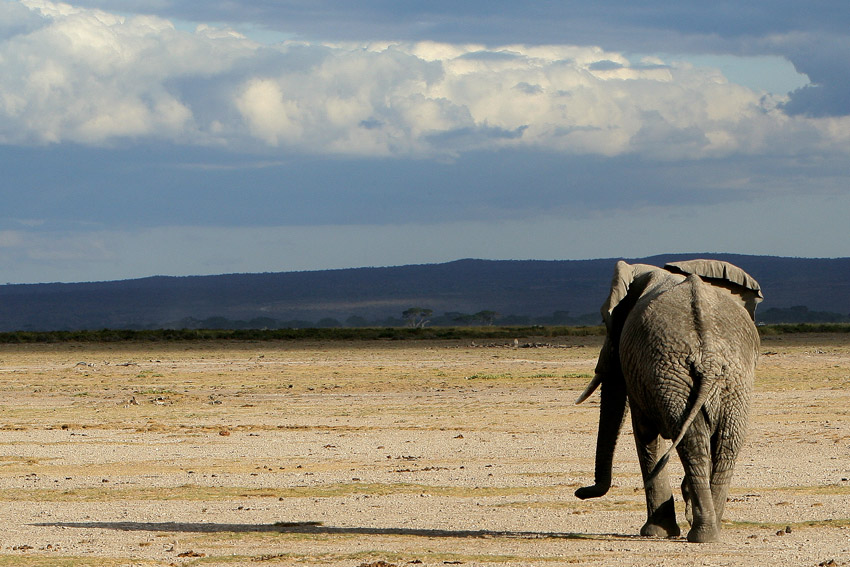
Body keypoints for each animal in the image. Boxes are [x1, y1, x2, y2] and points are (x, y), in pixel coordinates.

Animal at [568, 260, 760, 544]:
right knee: (726, 442)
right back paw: (710, 532)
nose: (580, 492)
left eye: (606, 320)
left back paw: (700, 534)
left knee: (695, 443)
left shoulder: (642, 372)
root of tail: (709, 358)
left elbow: (644, 434)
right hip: (726, 380)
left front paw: (655, 532)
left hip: (680, 373)